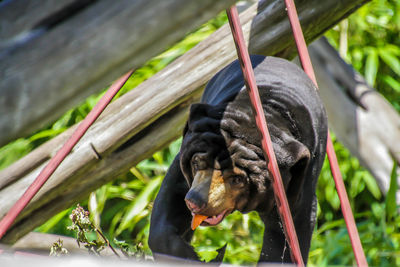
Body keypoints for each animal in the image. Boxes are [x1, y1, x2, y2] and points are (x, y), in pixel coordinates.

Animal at [148, 55, 326, 264]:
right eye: (196, 162)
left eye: (237, 179)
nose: (195, 202)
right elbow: (173, 192)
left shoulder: (297, 186)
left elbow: (286, 237)